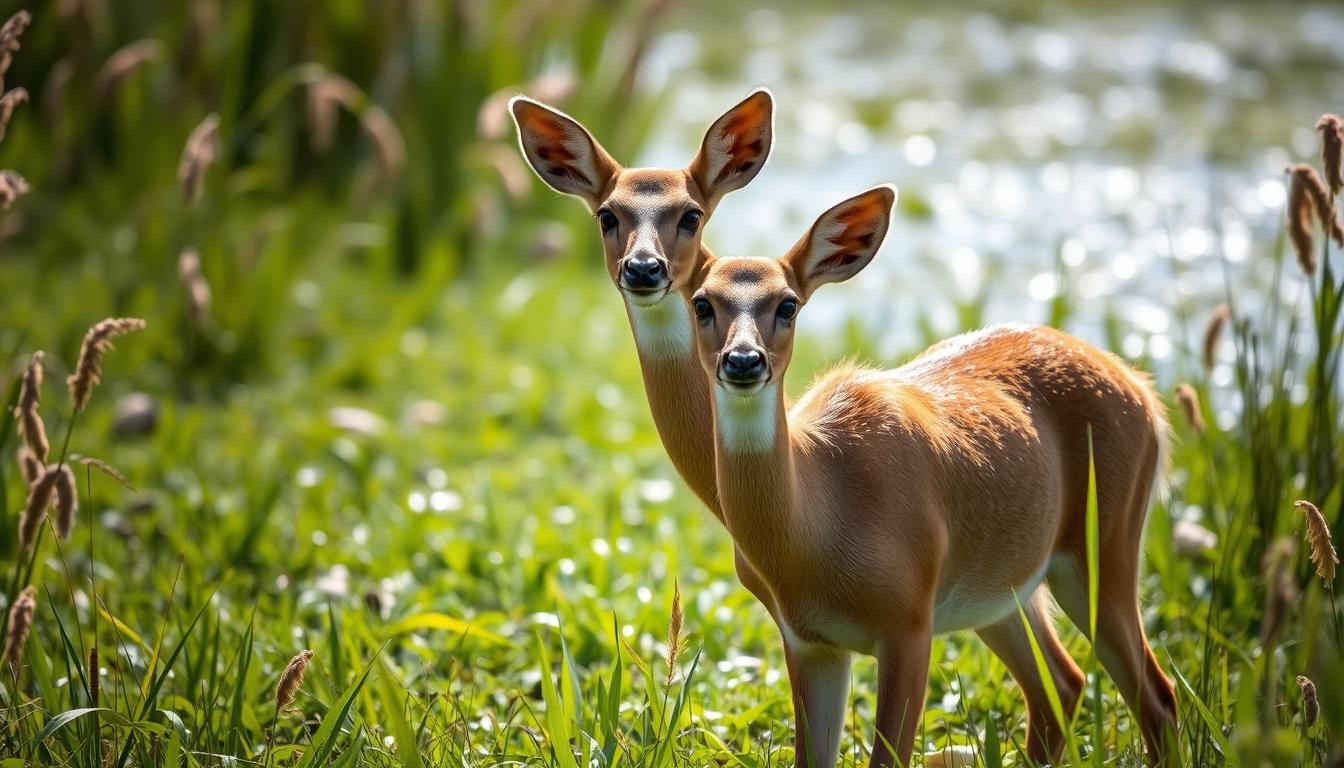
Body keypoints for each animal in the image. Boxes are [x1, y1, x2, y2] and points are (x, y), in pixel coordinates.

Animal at [693, 188, 1177, 768]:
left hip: (1105, 543)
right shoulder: (808, 641)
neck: (814, 537)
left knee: (1156, 693)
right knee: (1063, 683)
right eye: (701, 303)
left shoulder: (909, 620)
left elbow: (887, 757)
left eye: (788, 304)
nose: (744, 361)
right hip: (1001, 588)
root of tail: (1144, 391)